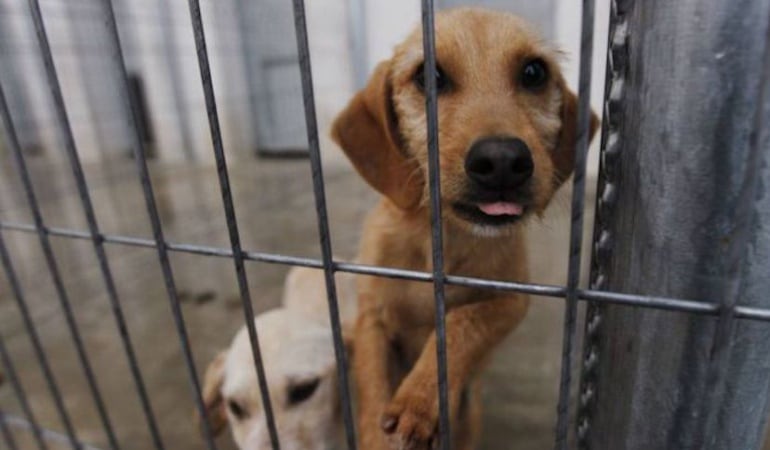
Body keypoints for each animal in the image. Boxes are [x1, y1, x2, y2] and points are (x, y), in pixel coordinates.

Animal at [330, 7, 592, 450]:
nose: (502, 160)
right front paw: (377, 432)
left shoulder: (511, 301)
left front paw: (420, 401)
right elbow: (372, 377)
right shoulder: (370, 316)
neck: (441, 242)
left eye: (534, 72)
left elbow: (460, 322)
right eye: (427, 76)